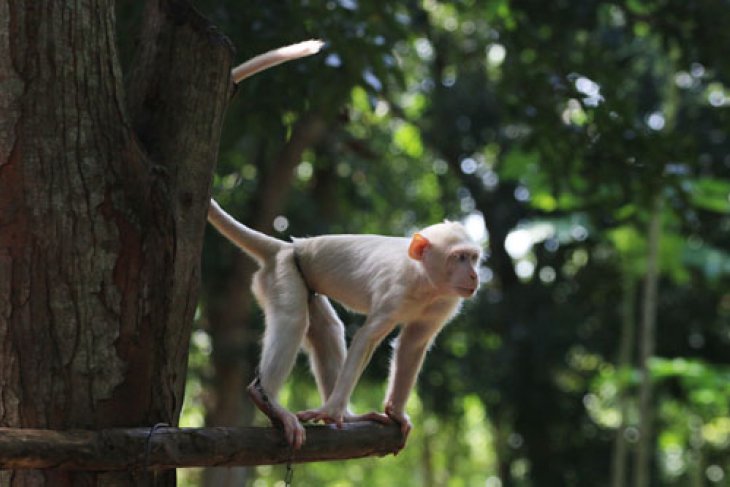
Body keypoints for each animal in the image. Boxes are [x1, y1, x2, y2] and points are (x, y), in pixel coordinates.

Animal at [209, 42, 484, 450]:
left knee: (325, 326)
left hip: (293, 272)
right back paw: (268, 400)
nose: (474, 276)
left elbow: (412, 344)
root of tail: (284, 244)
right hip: (283, 271)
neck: (426, 280)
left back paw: (348, 415)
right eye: (460, 258)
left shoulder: (446, 301)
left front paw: (395, 413)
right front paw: (332, 410)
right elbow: (368, 338)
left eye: (474, 258)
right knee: (294, 318)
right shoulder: (396, 292)